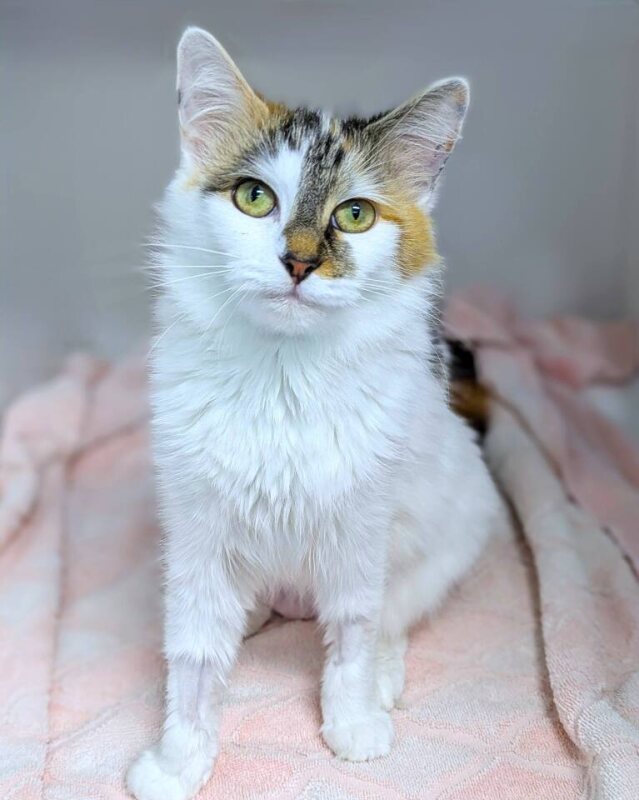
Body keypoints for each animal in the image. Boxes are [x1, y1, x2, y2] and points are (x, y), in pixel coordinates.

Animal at [127, 26, 502, 800]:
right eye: (253, 197)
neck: (282, 377)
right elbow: (193, 653)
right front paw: (179, 761)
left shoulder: (360, 530)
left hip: (447, 534)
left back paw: (382, 680)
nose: (299, 262)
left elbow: (355, 632)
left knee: (391, 616)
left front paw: (351, 723)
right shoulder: (197, 533)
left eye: (355, 214)